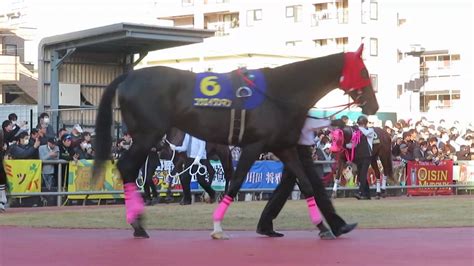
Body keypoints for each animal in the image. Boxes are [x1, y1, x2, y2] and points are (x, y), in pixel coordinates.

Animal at [93, 43, 378, 239]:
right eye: (364, 71)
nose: (374, 106)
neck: (279, 91)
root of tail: (129, 76)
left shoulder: (283, 147)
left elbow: (306, 183)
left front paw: (323, 226)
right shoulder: (254, 146)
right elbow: (236, 181)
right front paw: (218, 226)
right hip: (147, 136)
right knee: (127, 168)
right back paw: (138, 223)